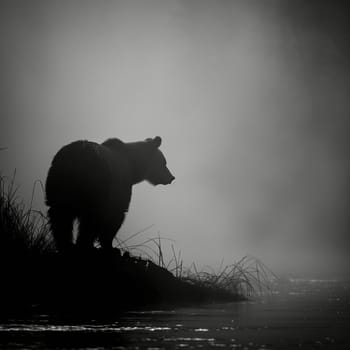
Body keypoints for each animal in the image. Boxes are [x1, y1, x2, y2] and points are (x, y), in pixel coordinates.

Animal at [44, 137, 175, 252]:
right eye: (164, 162)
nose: (171, 177)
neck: (133, 167)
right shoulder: (120, 187)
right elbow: (116, 216)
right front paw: (111, 247)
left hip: (59, 182)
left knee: (59, 214)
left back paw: (66, 245)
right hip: (98, 182)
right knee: (90, 217)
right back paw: (84, 245)